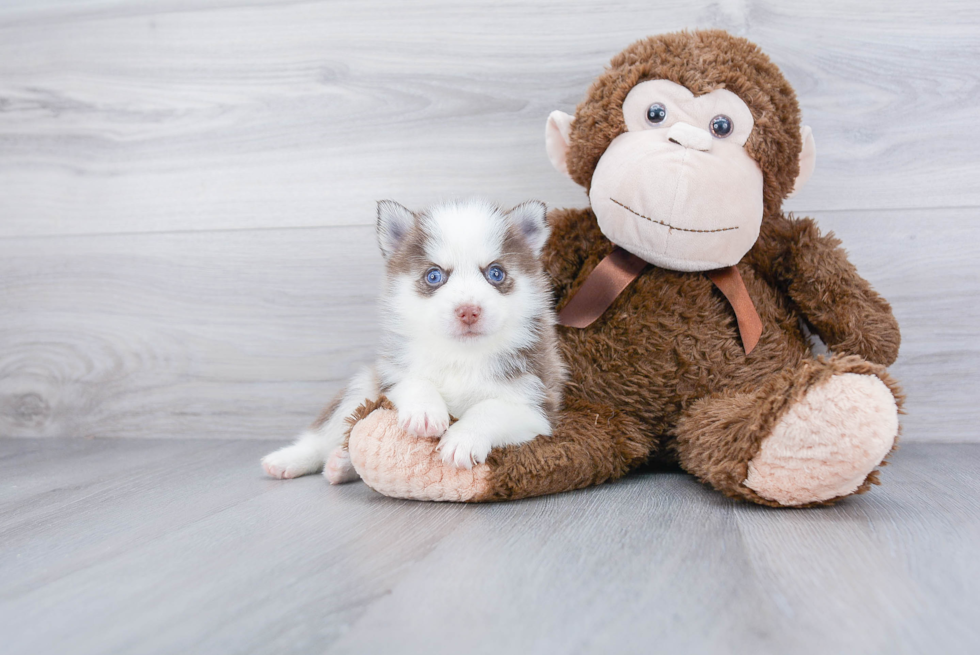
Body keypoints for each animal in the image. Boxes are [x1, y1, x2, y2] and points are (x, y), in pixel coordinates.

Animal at [262, 197, 568, 484]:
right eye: (434, 275)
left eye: (495, 273)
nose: (468, 311)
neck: (461, 355)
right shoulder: (390, 376)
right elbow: (414, 380)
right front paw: (424, 411)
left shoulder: (537, 404)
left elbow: (491, 409)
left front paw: (463, 438)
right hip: (361, 387)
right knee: (325, 433)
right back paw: (291, 459)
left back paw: (340, 465)